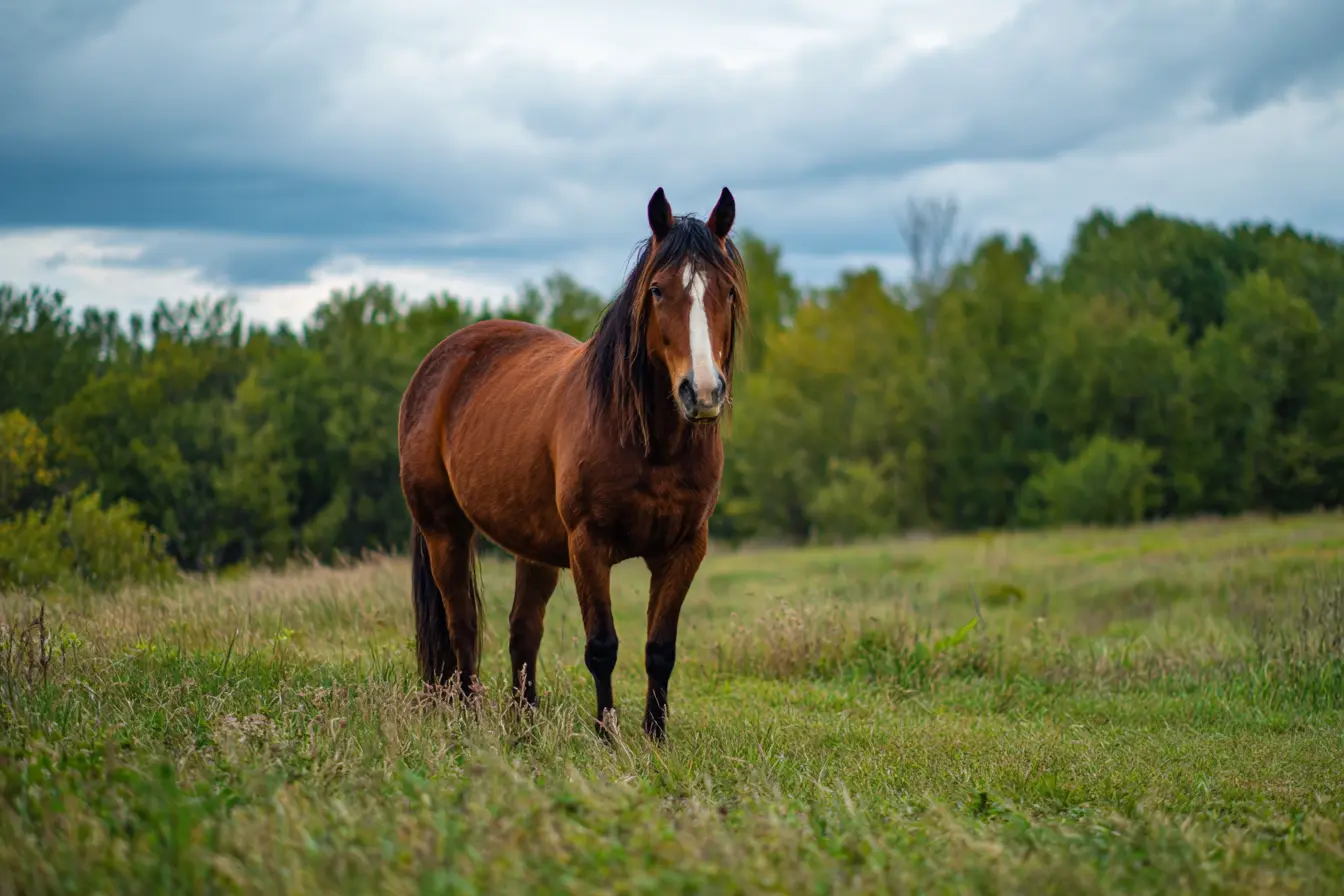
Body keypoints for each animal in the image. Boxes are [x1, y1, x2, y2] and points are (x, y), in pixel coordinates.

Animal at [397, 186, 747, 740]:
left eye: (728, 291)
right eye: (658, 291)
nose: (703, 391)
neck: (653, 445)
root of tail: (442, 360)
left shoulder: (685, 548)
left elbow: (660, 650)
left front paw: (655, 737)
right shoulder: (588, 545)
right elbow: (602, 648)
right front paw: (608, 735)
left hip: (534, 546)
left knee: (523, 629)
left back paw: (525, 723)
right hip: (444, 531)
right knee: (462, 625)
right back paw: (471, 717)